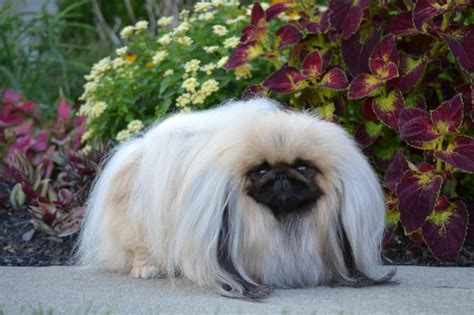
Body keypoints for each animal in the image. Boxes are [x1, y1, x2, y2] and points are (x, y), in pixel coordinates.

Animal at [78, 100, 394, 300]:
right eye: (261, 170)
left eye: (303, 168)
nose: (282, 176)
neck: (284, 221)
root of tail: (141, 150)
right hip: (140, 227)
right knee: (139, 248)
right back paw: (146, 269)